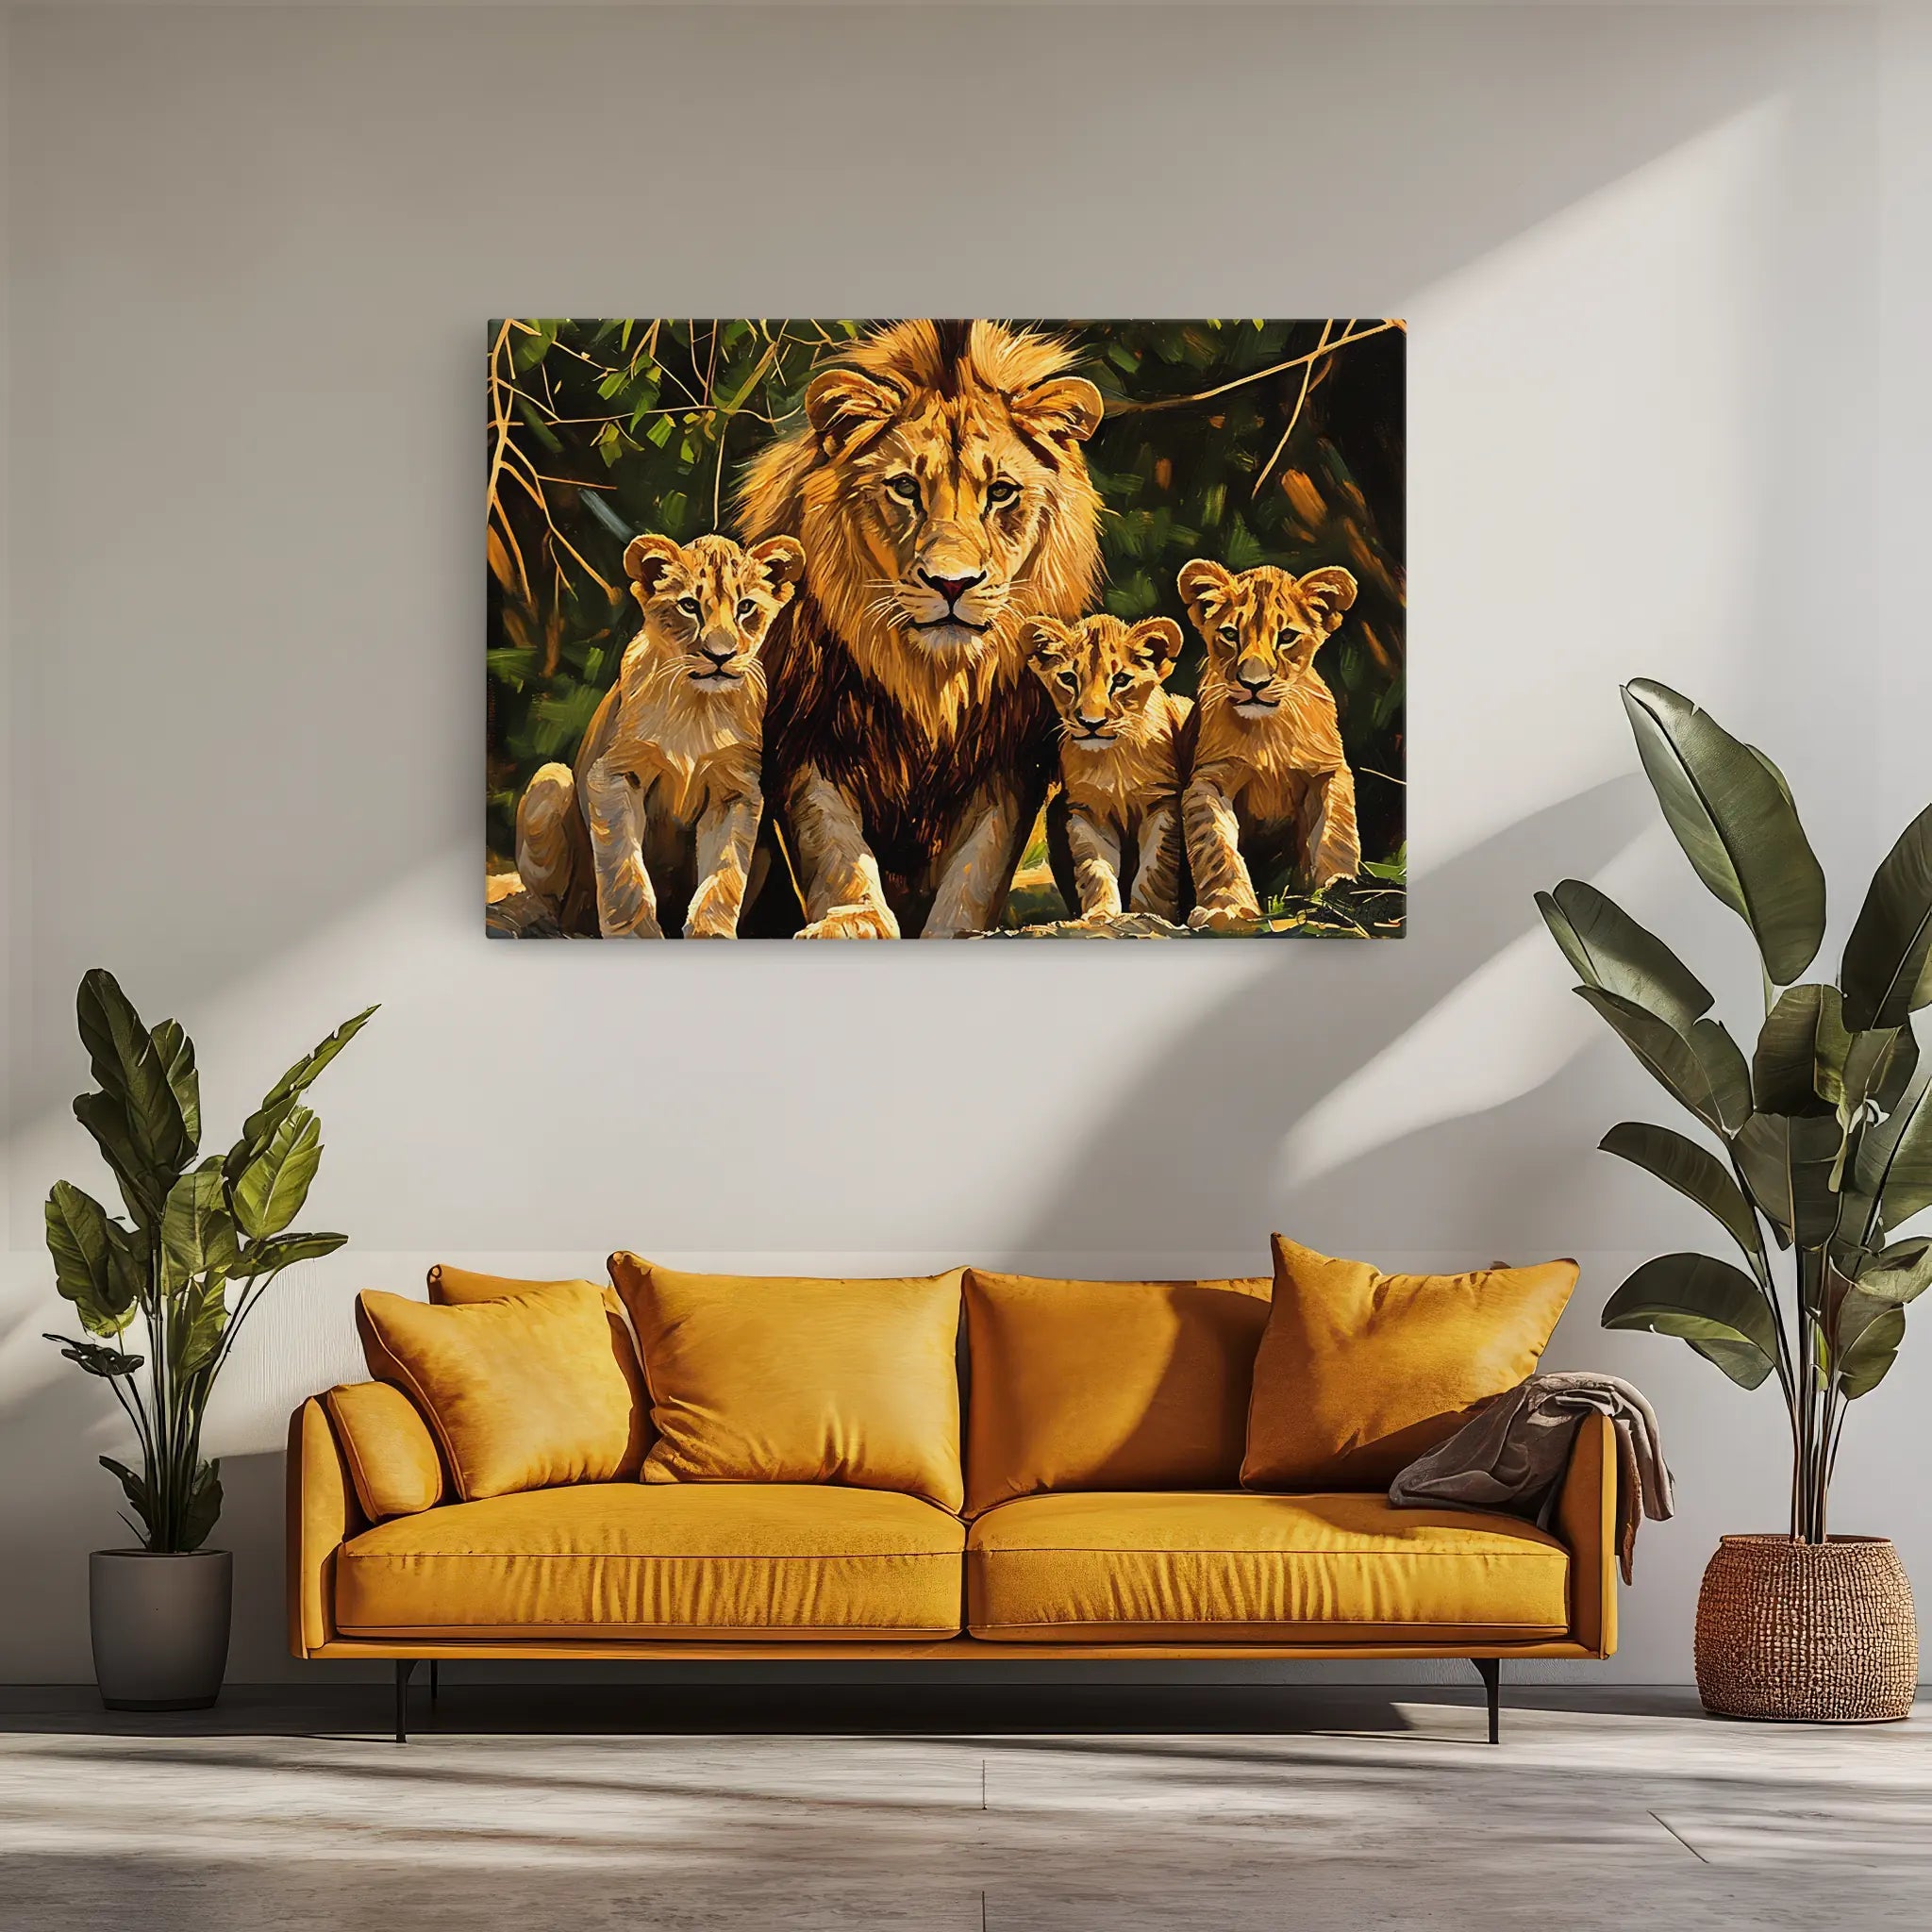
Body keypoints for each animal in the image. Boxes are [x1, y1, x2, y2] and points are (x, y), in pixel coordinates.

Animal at [515, 531, 804, 938]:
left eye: (746, 607)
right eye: (689, 606)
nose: (720, 656)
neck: (697, 706)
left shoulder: (737, 790)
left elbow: (724, 875)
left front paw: (711, 933)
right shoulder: (614, 774)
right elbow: (624, 870)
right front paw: (634, 934)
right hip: (551, 779)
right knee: (552, 901)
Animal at [736, 320, 1105, 938]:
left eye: (1000, 492)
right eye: (905, 488)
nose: (951, 584)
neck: (930, 679)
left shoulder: (1006, 761)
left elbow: (977, 869)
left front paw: (957, 930)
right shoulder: (807, 738)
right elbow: (834, 849)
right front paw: (853, 919)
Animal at [1025, 613, 1192, 923]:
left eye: (1122, 680)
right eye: (1068, 678)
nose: (1091, 723)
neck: (1112, 758)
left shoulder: (1162, 803)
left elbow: (1153, 869)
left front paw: (1149, 915)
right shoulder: (1086, 811)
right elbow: (1095, 868)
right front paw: (1100, 914)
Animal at [1175, 559, 1361, 931]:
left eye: (1287, 637)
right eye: (1230, 634)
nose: (1254, 684)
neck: (1268, 732)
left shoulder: (1327, 772)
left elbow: (1336, 832)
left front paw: (1339, 890)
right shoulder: (1209, 778)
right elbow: (1215, 844)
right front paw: (1227, 907)